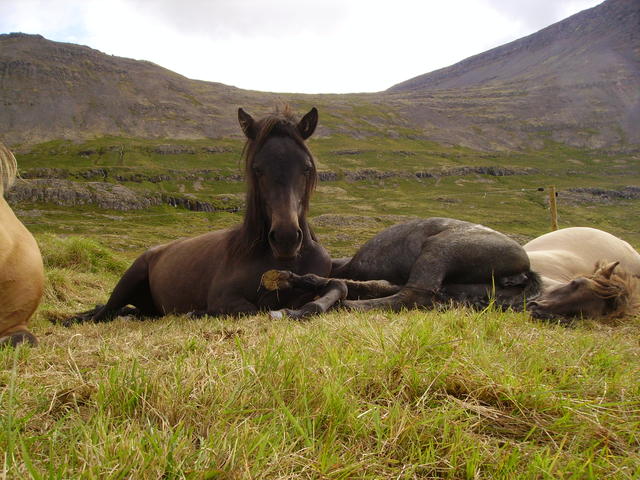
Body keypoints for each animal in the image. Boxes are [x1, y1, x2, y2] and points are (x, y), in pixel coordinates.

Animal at [67, 105, 332, 322]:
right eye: (257, 169)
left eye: (306, 168)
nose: (286, 238)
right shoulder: (224, 297)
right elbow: (251, 309)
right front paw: (197, 312)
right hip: (128, 281)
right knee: (103, 313)